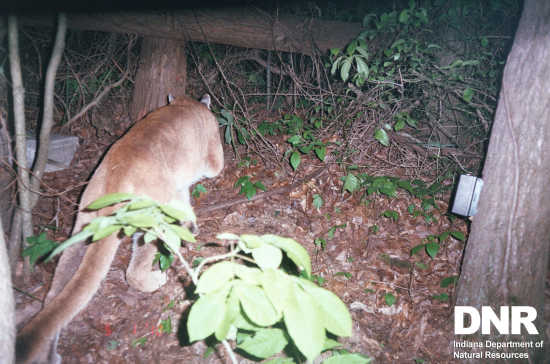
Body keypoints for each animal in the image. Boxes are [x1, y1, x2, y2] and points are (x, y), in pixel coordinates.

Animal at [17, 94, 224, 364]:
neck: (186, 103)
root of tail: (116, 176)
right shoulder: (211, 156)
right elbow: (201, 181)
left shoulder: (176, 188)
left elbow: (183, 200)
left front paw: (190, 222)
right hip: (150, 216)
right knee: (135, 269)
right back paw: (155, 280)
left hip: (81, 226)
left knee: (56, 293)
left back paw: (49, 354)